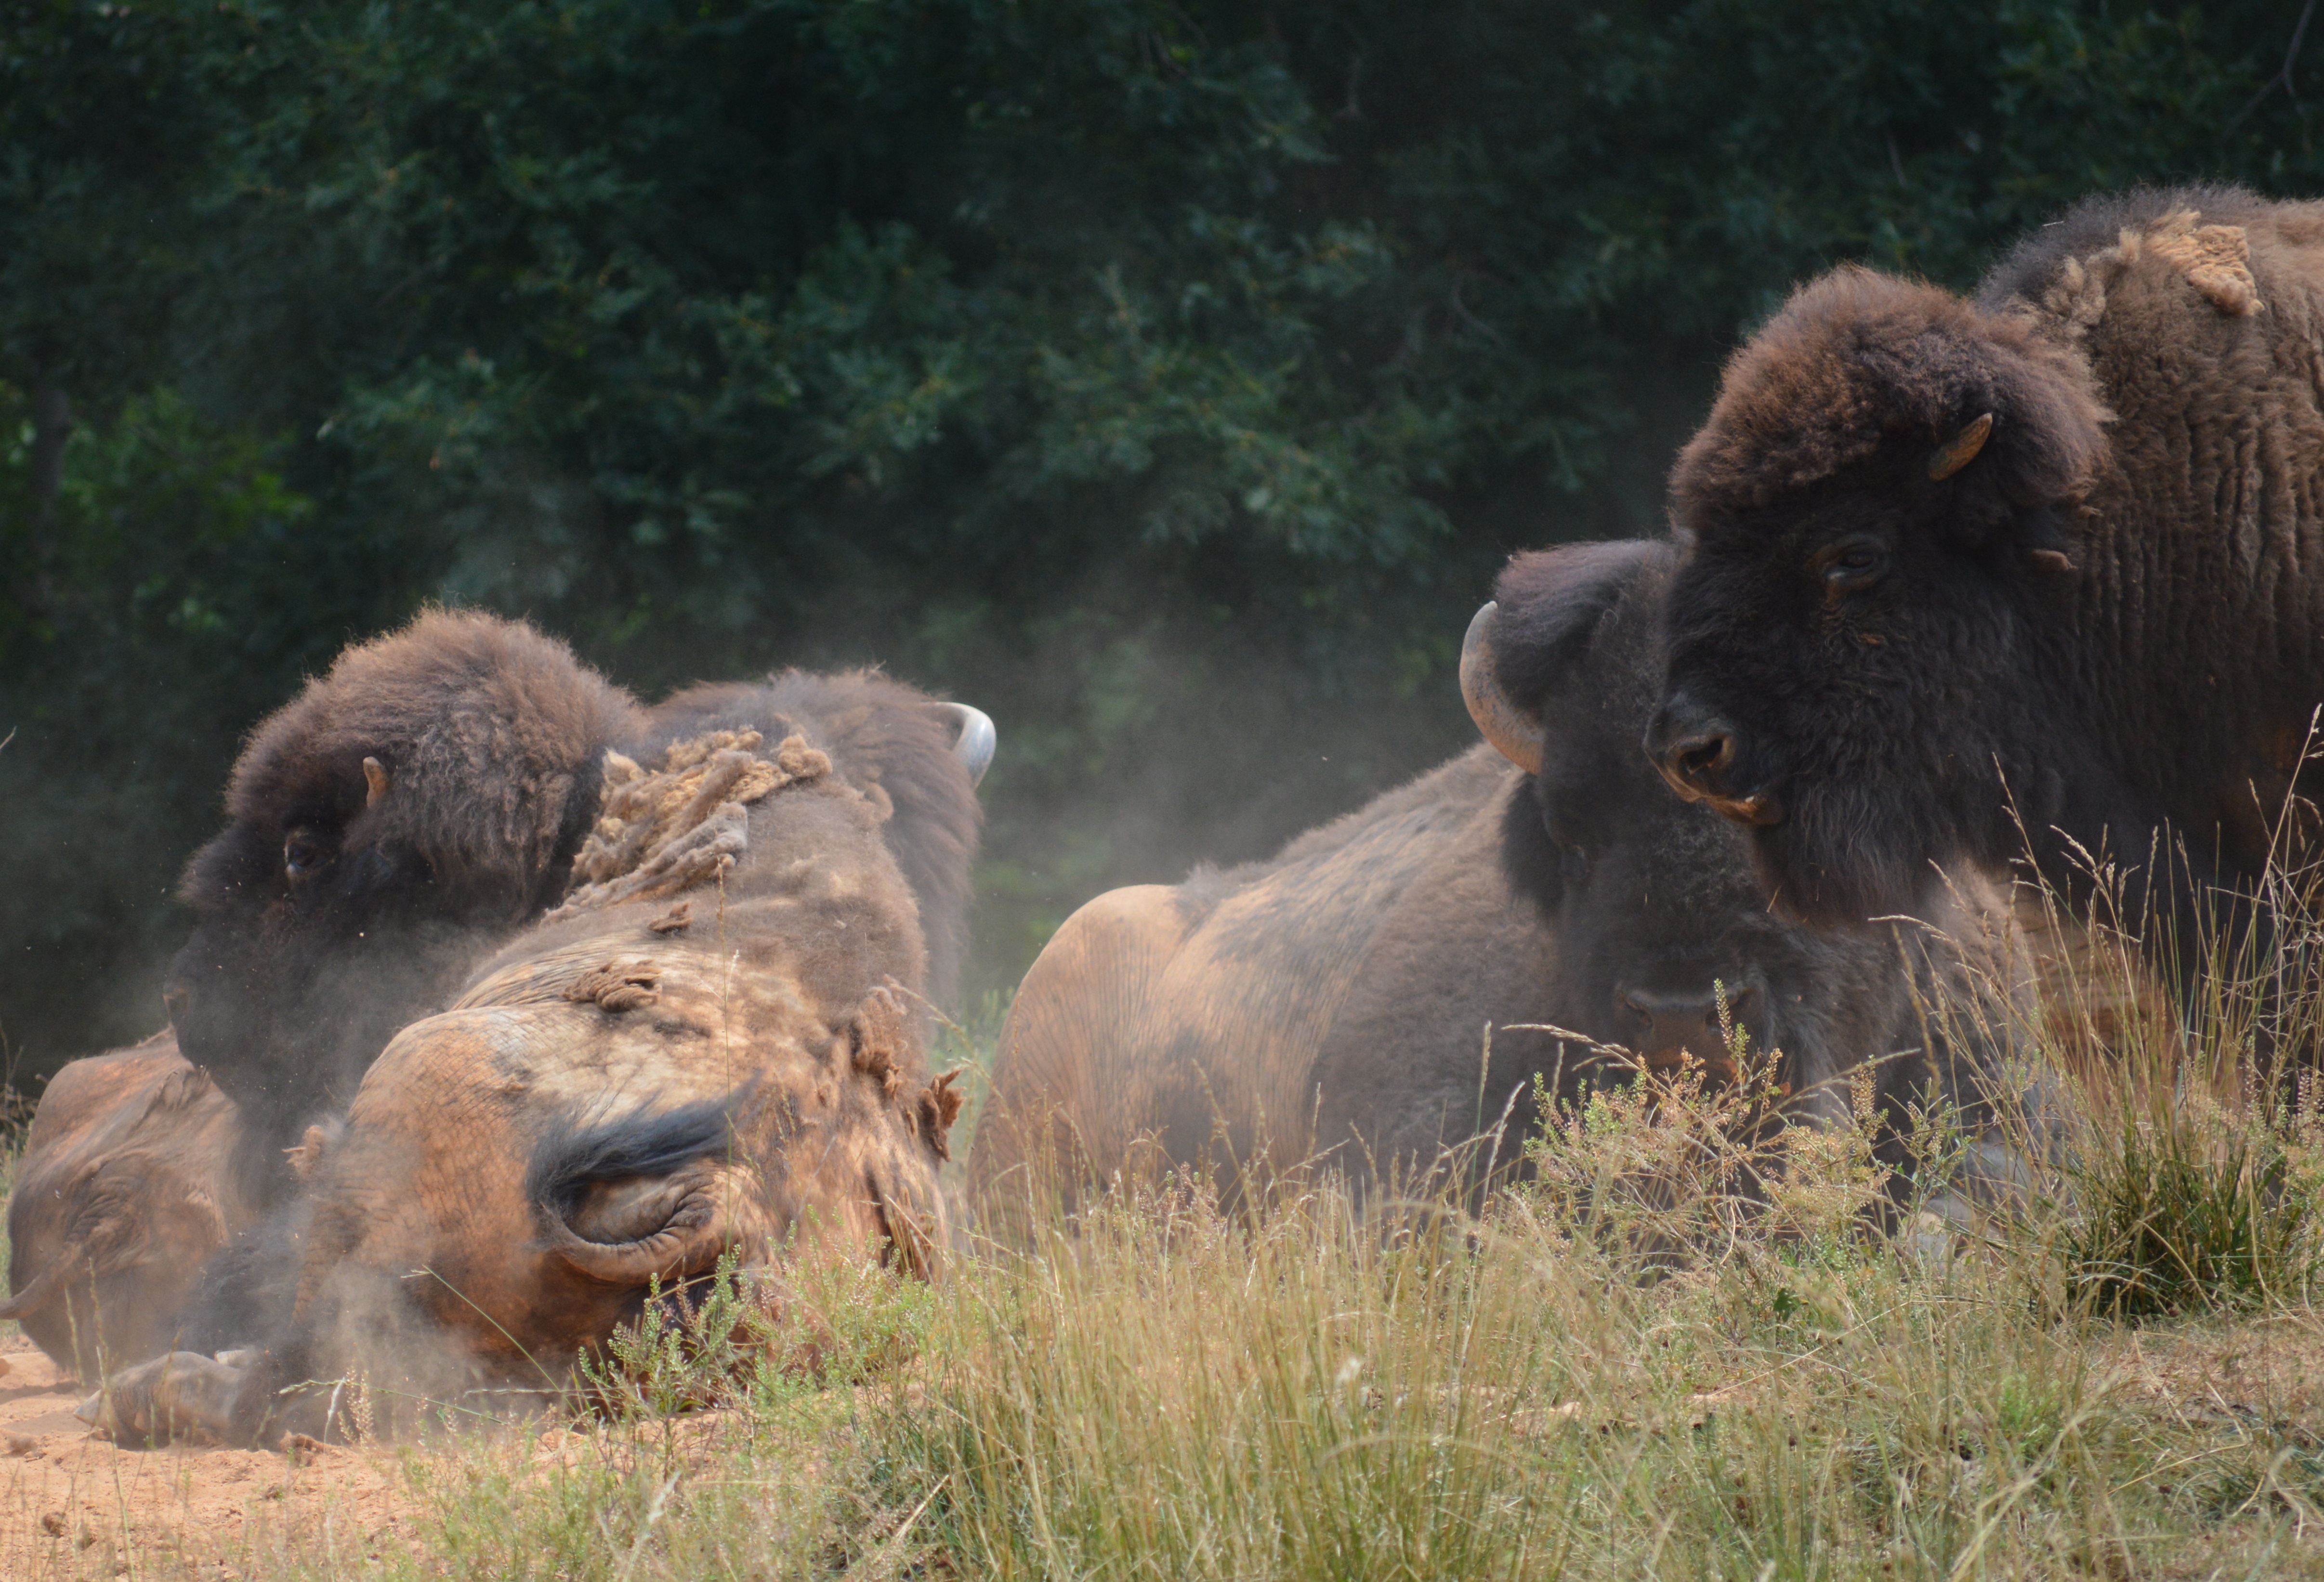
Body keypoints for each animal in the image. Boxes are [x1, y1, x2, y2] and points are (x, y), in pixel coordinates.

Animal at [95, 664, 990, 1440]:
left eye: (302, 855)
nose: (184, 1003)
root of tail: (712, 1208)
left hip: (405, 1096)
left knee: (300, 1379)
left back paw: (136, 1393)